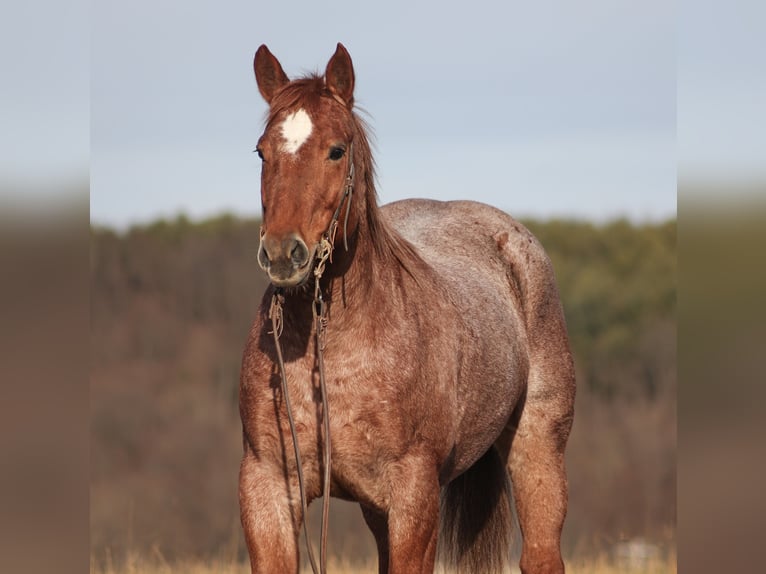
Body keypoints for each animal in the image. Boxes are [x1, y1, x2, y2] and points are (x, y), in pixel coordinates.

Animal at [239, 43, 576, 574]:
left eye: (337, 150)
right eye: (261, 151)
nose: (282, 254)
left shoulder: (414, 493)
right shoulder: (267, 485)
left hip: (538, 449)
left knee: (542, 553)